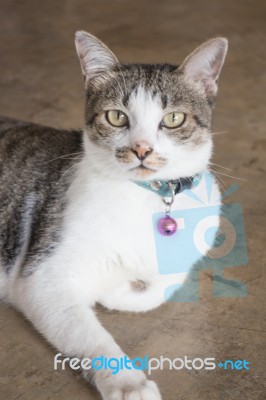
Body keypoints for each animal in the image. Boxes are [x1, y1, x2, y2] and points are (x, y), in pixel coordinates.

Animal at [0, 32, 227, 400]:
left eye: (173, 119)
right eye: (117, 117)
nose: (142, 148)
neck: (150, 197)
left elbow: (164, 284)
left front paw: (121, 288)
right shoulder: (41, 278)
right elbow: (91, 337)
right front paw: (128, 383)